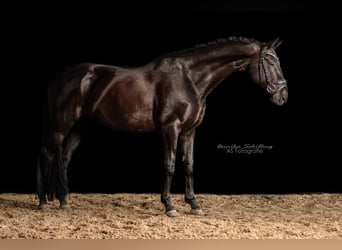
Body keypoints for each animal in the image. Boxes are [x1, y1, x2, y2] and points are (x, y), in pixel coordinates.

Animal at [37, 36, 288, 216]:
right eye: (271, 61)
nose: (283, 95)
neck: (189, 78)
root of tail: (59, 77)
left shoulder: (189, 131)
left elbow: (189, 165)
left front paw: (194, 204)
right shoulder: (171, 129)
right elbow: (169, 165)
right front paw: (169, 206)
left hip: (80, 127)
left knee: (64, 158)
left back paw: (64, 202)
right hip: (60, 125)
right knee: (46, 154)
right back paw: (42, 202)